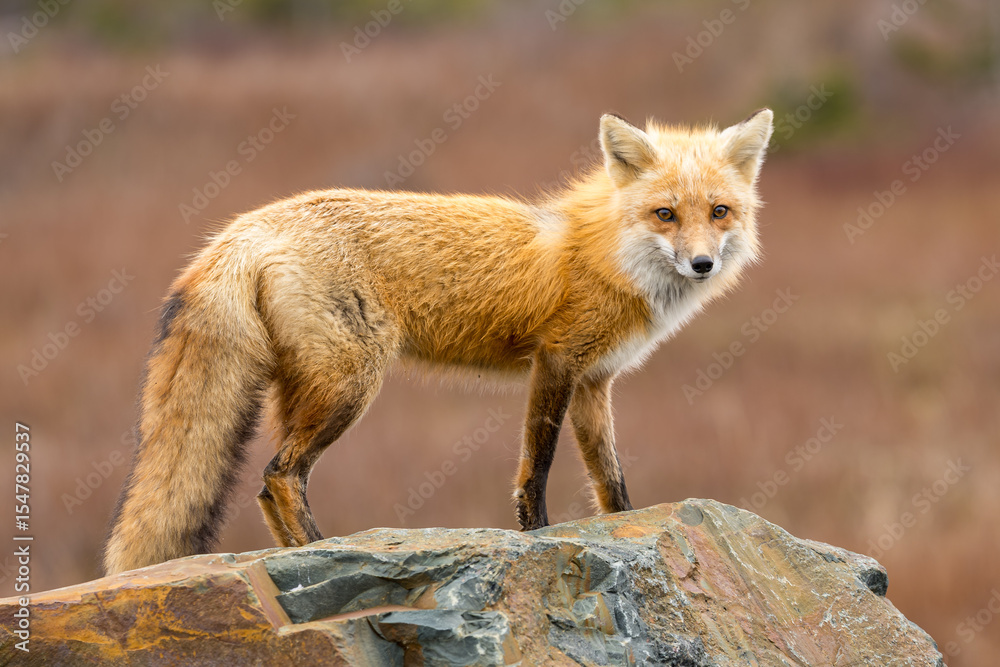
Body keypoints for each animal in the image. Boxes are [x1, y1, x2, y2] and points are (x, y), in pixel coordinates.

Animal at [103, 109, 773, 575]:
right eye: (665, 214)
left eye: (719, 211)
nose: (702, 264)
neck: (610, 254)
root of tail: (241, 229)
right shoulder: (555, 361)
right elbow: (536, 468)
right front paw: (538, 538)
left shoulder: (594, 382)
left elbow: (612, 485)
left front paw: (631, 532)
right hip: (350, 386)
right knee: (280, 474)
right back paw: (324, 554)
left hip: (305, 387)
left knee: (268, 487)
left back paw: (295, 556)